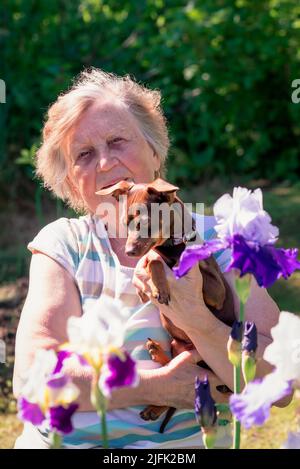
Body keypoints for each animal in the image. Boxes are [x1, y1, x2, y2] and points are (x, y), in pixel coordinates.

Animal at [97, 178, 236, 432]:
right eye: (125, 225)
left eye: (145, 224)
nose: (129, 251)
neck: (173, 248)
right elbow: (153, 258)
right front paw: (157, 286)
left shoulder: (217, 291)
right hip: (176, 343)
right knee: (170, 369)